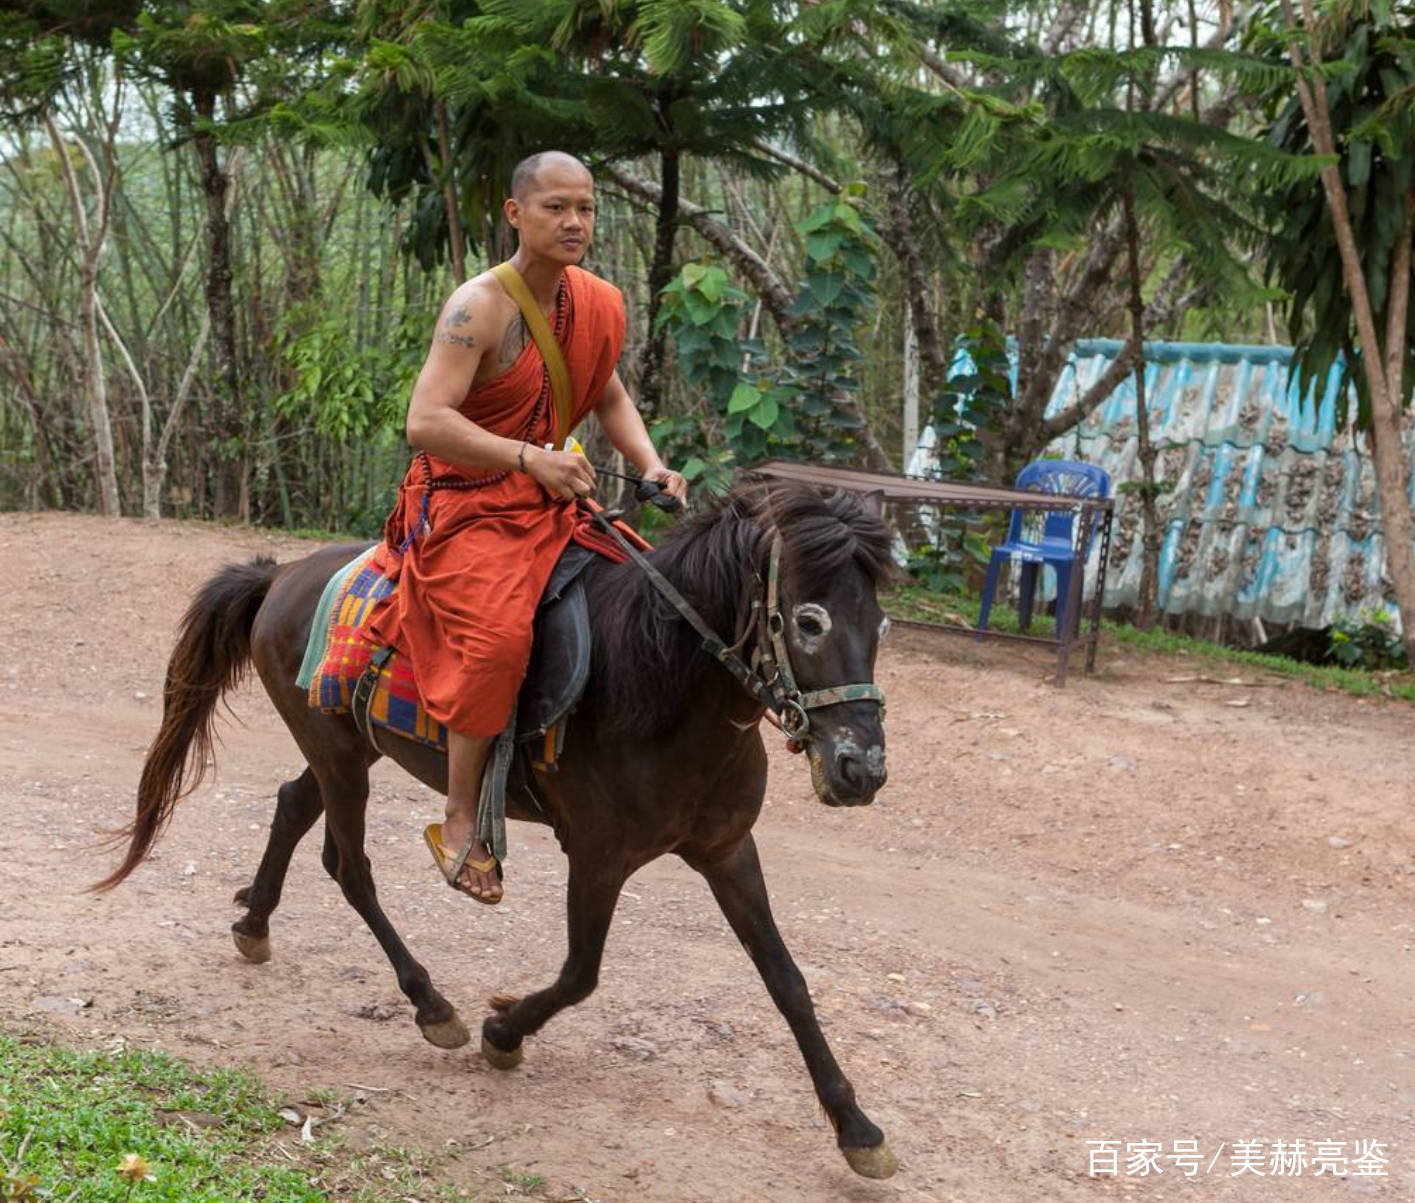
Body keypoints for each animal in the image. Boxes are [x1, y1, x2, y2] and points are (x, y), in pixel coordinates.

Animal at [96, 478, 894, 1171]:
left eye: (880, 622)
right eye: (809, 620)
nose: (862, 768)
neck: (660, 690)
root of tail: (282, 575)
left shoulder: (727, 849)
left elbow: (787, 981)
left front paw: (855, 1126)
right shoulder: (598, 857)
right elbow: (580, 973)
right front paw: (503, 1031)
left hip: (346, 746)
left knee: (294, 805)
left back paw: (255, 923)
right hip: (339, 754)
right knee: (349, 867)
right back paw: (430, 1003)